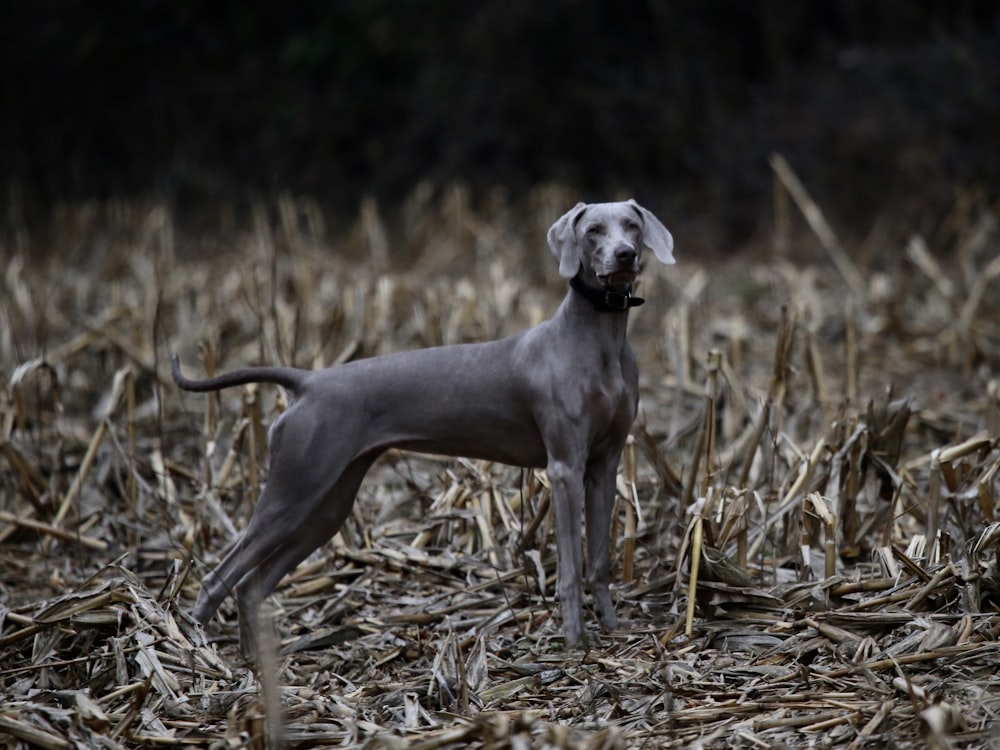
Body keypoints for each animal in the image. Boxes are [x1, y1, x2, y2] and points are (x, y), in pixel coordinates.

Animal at [174, 201, 672, 656]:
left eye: (632, 225)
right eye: (592, 230)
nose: (625, 255)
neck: (600, 338)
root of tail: (308, 381)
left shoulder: (604, 465)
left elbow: (599, 559)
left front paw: (612, 629)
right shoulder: (565, 468)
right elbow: (569, 567)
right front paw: (573, 640)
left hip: (328, 506)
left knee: (251, 585)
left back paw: (254, 661)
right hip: (294, 490)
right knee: (219, 576)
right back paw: (198, 653)